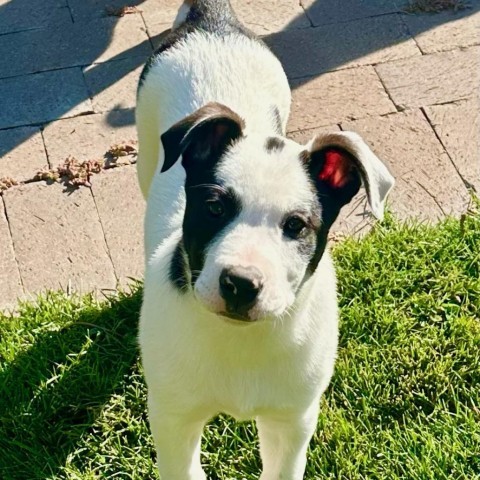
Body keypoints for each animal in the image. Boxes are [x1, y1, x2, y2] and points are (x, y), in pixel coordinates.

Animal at [136, 1, 394, 478]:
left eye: (296, 226)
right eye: (214, 208)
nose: (240, 284)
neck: (241, 342)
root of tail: (210, 21)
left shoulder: (292, 421)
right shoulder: (173, 418)